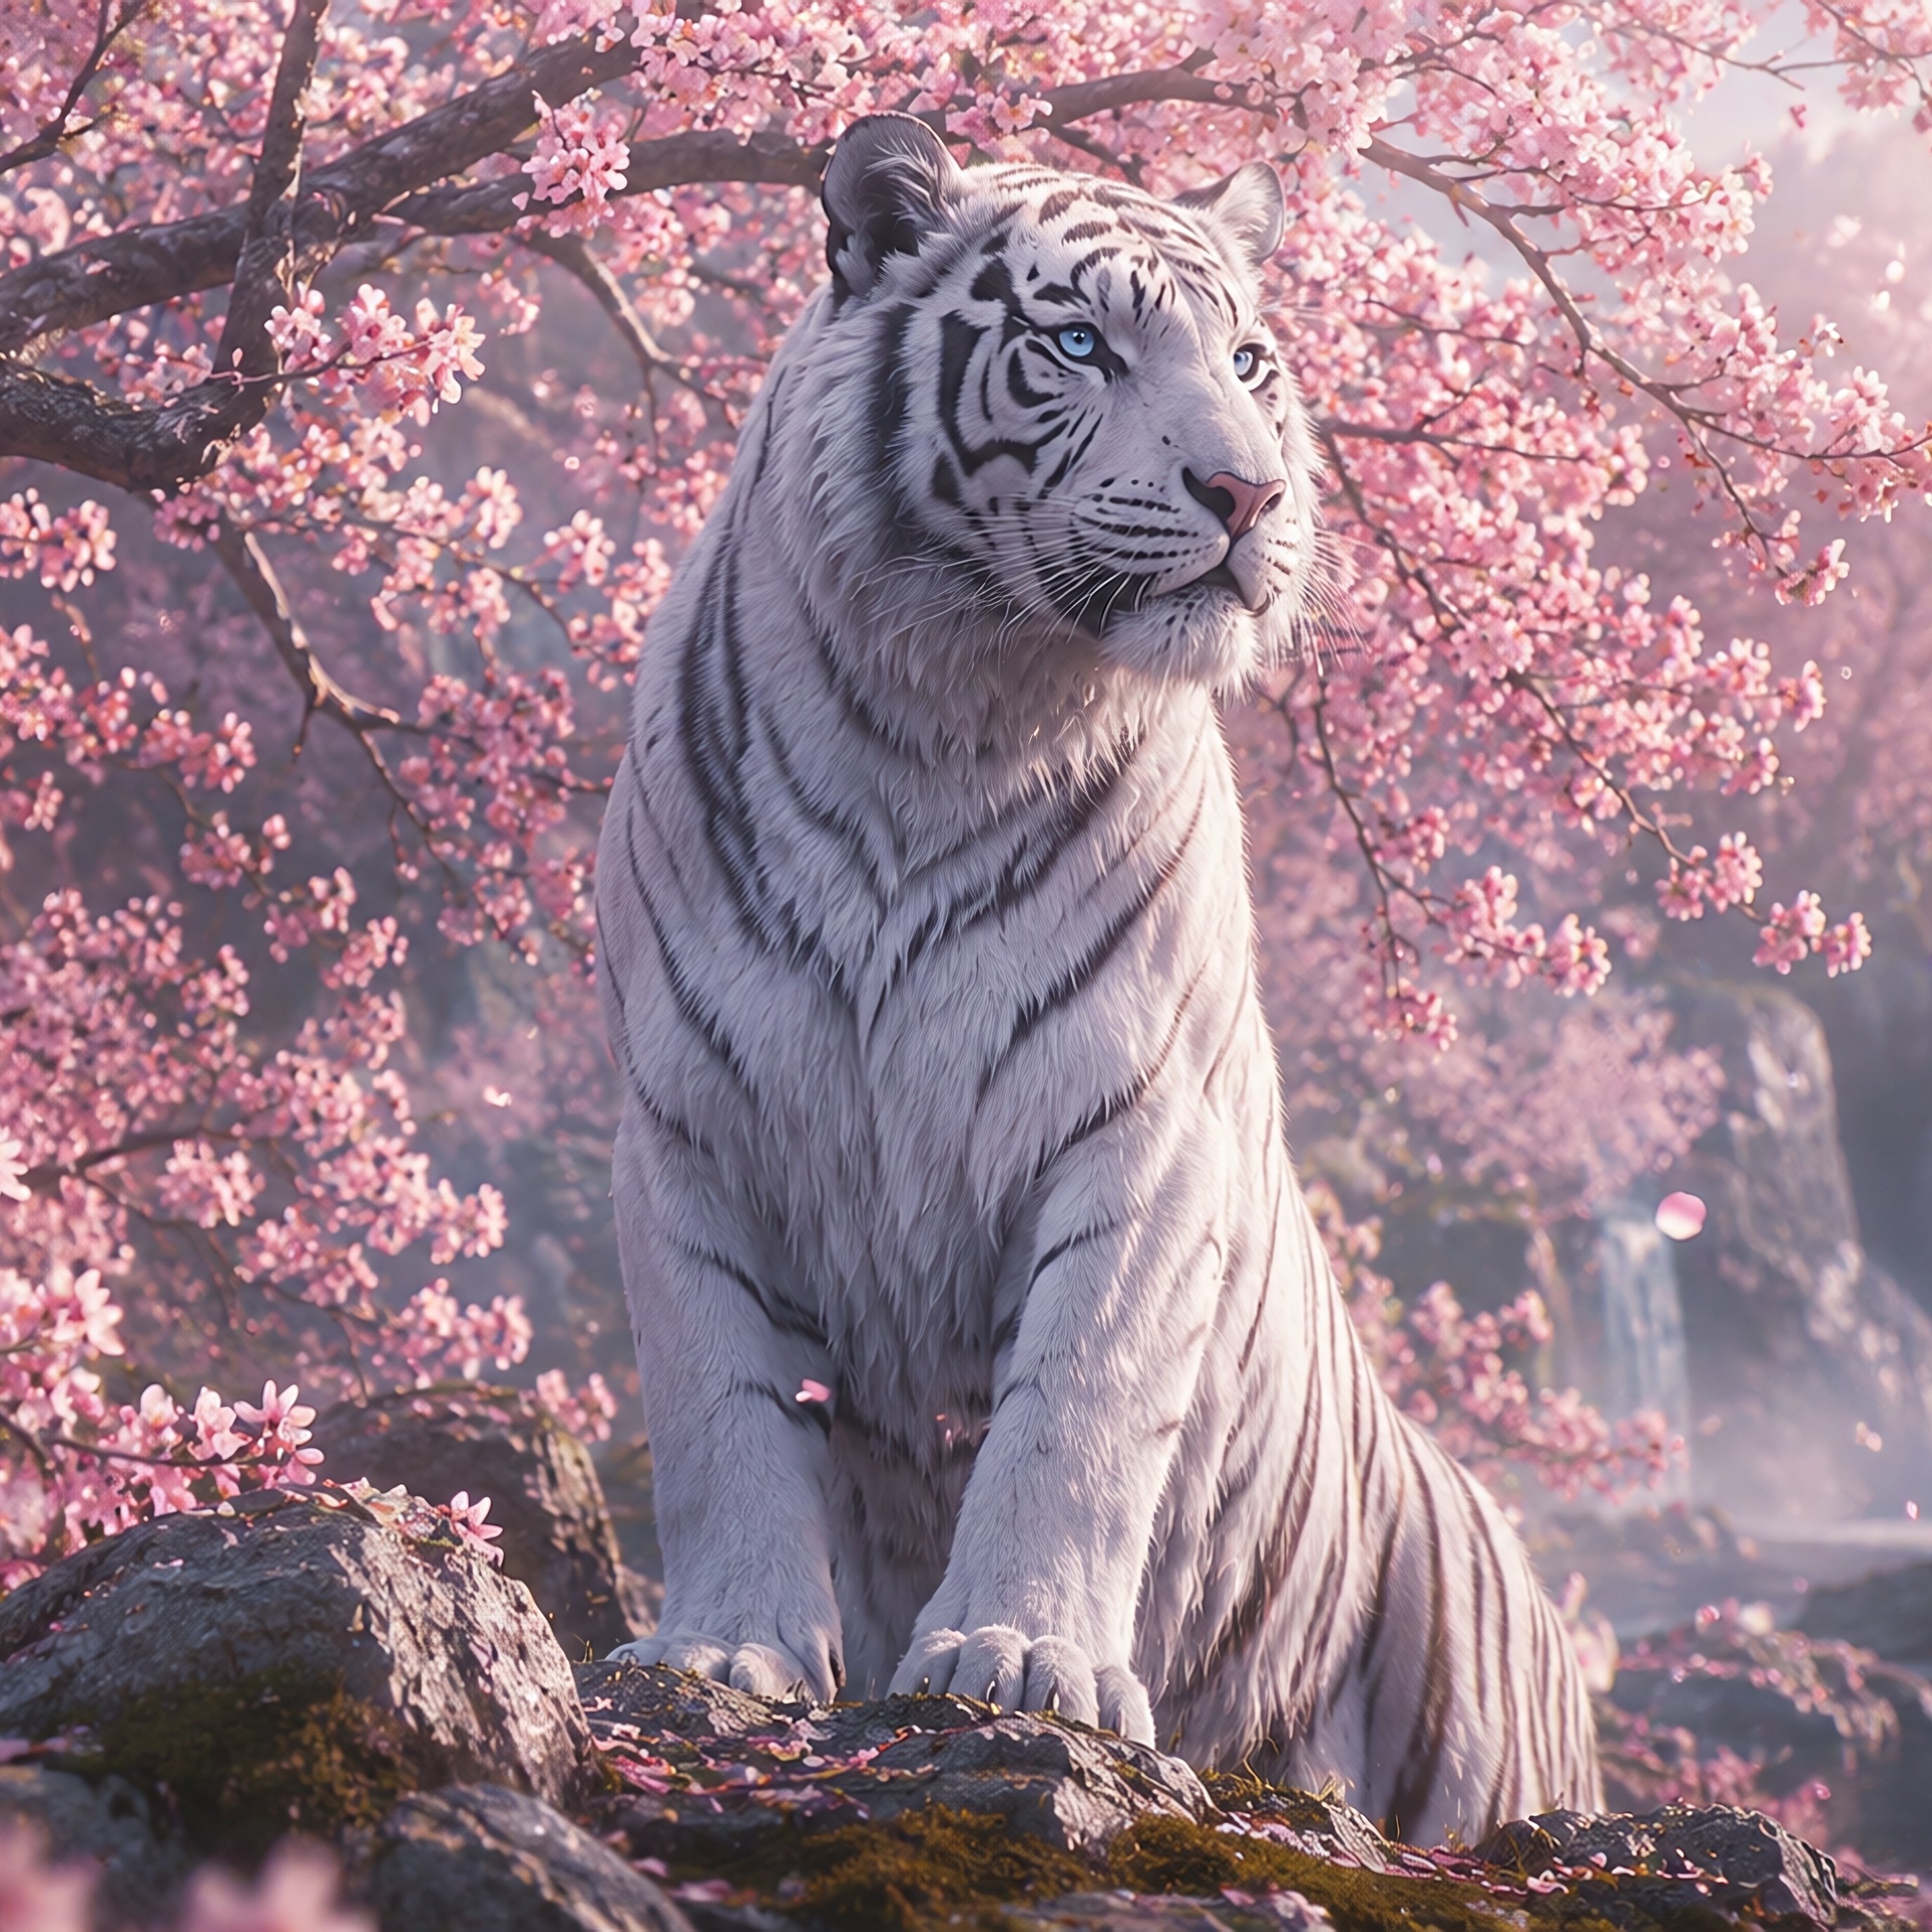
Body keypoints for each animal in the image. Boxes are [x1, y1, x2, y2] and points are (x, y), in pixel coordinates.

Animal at [594, 111, 1601, 1844]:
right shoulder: (683, 1128)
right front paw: (726, 1650)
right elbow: (719, 1408)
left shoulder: (1139, 1127)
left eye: (1251, 359)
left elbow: (1074, 1409)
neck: (940, 713)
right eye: (1078, 344)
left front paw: (1018, 1661)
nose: (1247, 488)